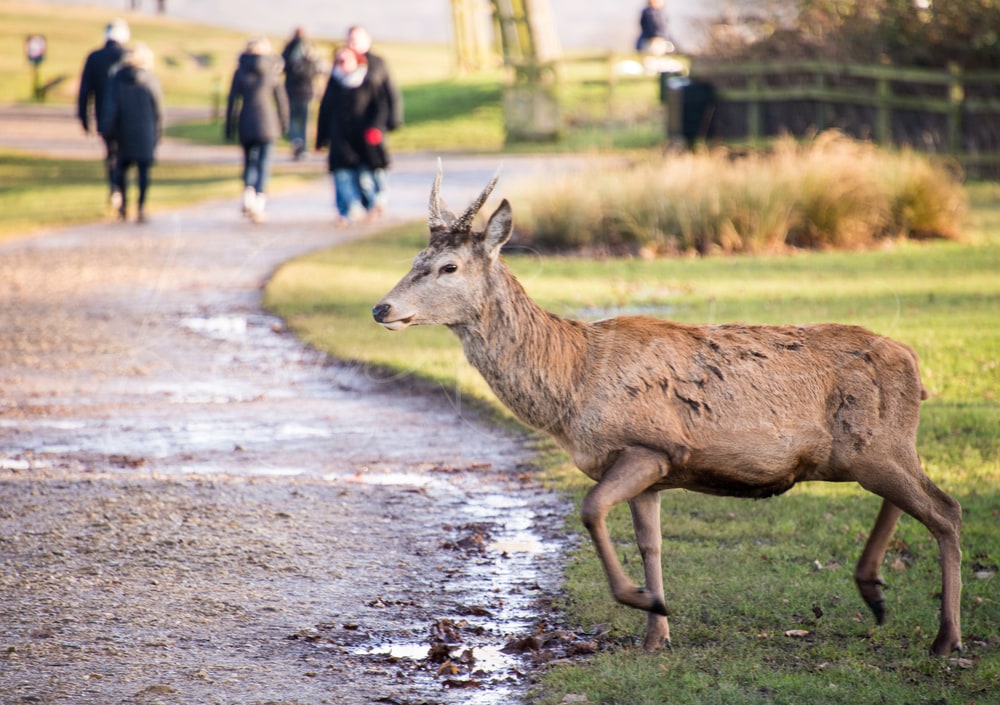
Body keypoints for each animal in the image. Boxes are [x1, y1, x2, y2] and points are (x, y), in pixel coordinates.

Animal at [372, 166, 963, 656]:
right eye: (413, 262)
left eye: (448, 266)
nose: (381, 307)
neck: (573, 382)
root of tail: (913, 362)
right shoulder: (650, 472)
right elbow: (649, 543)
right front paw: (656, 631)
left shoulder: (651, 445)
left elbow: (591, 509)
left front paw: (643, 602)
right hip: (874, 450)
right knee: (914, 499)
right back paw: (875, 592)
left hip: (877, 446)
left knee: (947, 510)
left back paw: (945, 638)